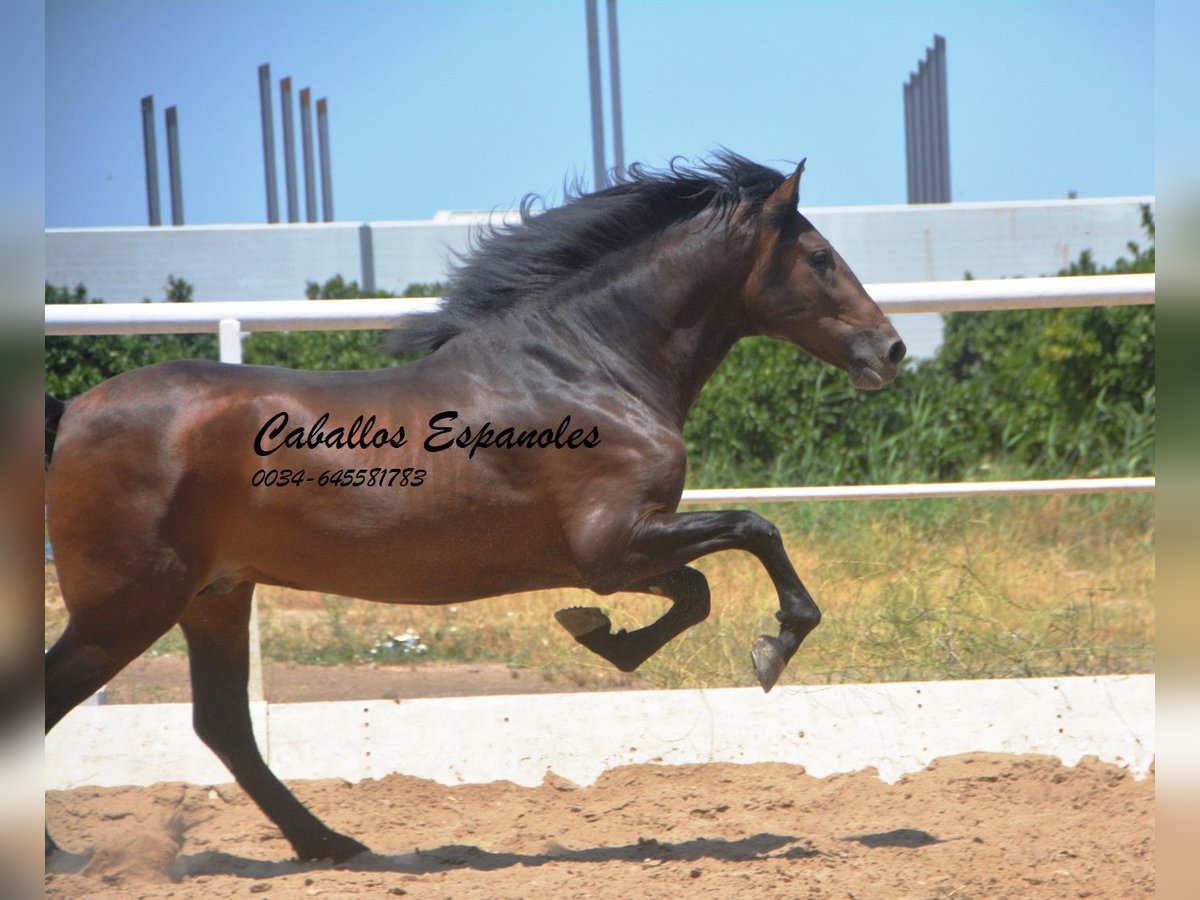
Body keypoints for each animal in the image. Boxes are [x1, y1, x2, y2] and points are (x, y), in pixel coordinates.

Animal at [44, 153, 902, 859]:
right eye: (820, 257)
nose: (890, 350)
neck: (586, 367)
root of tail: (73, 409)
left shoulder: (614, 554)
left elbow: (693, 592)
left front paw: (599, 633)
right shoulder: (614, 544)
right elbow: (754, 532)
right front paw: (773, 645)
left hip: (214, 598)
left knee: (223, 725)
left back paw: (333, 846)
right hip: (128, 606)